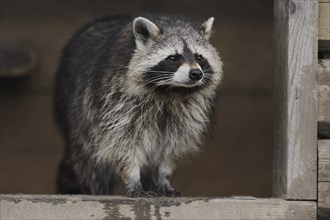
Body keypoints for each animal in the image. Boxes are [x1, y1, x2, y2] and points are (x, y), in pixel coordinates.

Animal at [54, 14, 223, 197]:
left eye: (199, 57)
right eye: (173, 58)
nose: (196, 74)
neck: (170, 91)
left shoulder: (186, 114)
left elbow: (172, 145)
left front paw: (164, 176)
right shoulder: (115, 100)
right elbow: (122, 142)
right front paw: (133, 178)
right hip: (76, 115)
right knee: (89, 162)